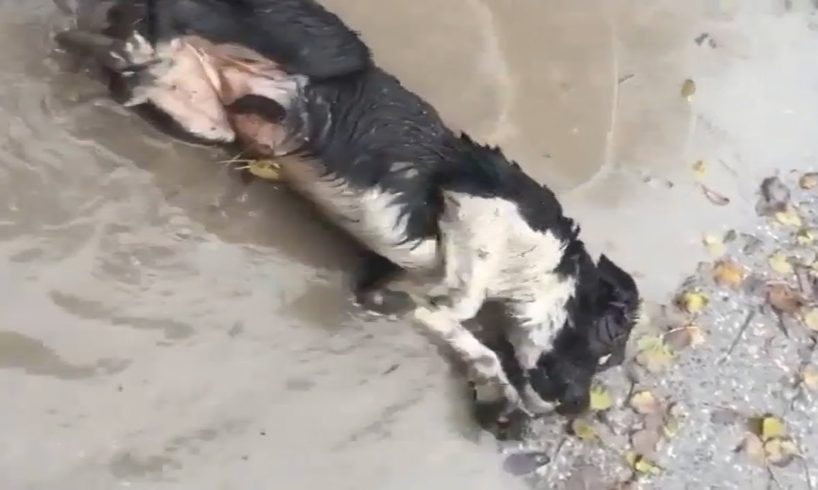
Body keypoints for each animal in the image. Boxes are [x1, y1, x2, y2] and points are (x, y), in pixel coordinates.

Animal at [54, 0, 644, 420]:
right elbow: (465, 293)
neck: (530, 273)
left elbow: (470, 340)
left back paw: (132, 65)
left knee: (132, 65)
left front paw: (496, 396)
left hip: (205, 118)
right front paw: (447, 304)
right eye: (606, 343)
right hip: (325, 45)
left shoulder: (393, 274)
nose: (576, 411)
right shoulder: (482, 193)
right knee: (157, 21)